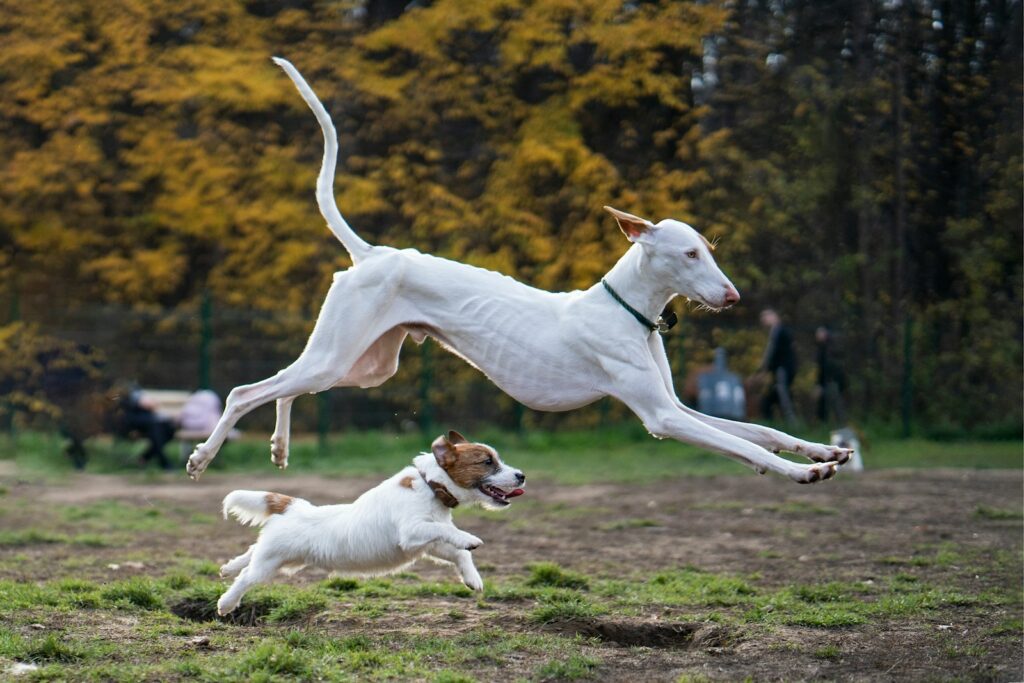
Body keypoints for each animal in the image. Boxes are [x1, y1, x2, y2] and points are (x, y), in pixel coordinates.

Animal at [182, 58, 847, 485]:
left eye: (709, 248)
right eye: (690, 255)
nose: (733, 297)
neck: (628, 312)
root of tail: (373, 254)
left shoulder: (679, 409)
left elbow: (756, 428)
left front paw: (821, 447)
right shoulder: (662, 419)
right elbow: (740, 444)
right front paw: (803, 471)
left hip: (364, 366)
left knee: (286, 387)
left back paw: (278, 443)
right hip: (340, 354)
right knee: (247, 391)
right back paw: (203, 456)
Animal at [212, 436, 524, 618]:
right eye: (487, 462)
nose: (521, 475)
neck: (430, 485)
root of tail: (293, 506)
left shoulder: (429, 545)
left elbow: (459, 553)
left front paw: (473, 579)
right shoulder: (413, 533)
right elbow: (451, 533)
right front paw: (470, 538)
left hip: (282, 559)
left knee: (250, 552)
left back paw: (228, 568)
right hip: (269, 564)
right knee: (246, 578)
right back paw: (226, 603)